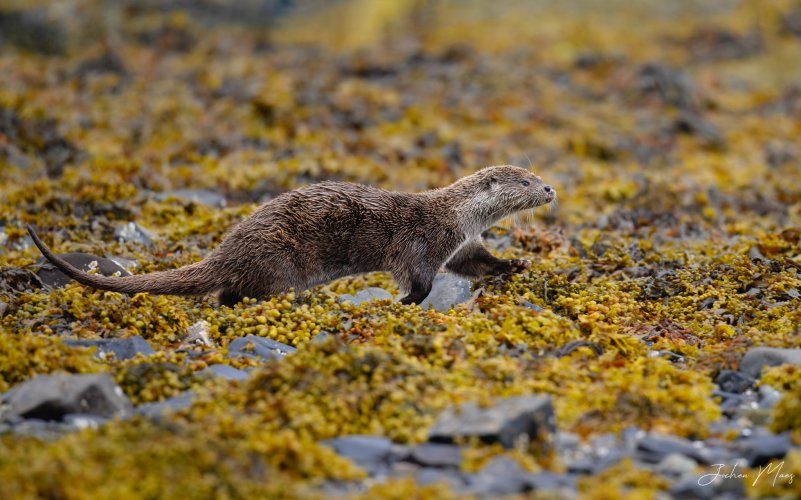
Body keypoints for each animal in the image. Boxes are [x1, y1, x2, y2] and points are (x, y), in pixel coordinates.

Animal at [29, 165, 556, 304]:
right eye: (527, 180)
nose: (551, 187)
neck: (458, 217)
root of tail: (227, 250)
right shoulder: (423, 243)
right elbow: (416, 279)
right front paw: (404, 303)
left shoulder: (463, 245)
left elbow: (479, 264)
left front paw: (516, 263)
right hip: (278, 261)